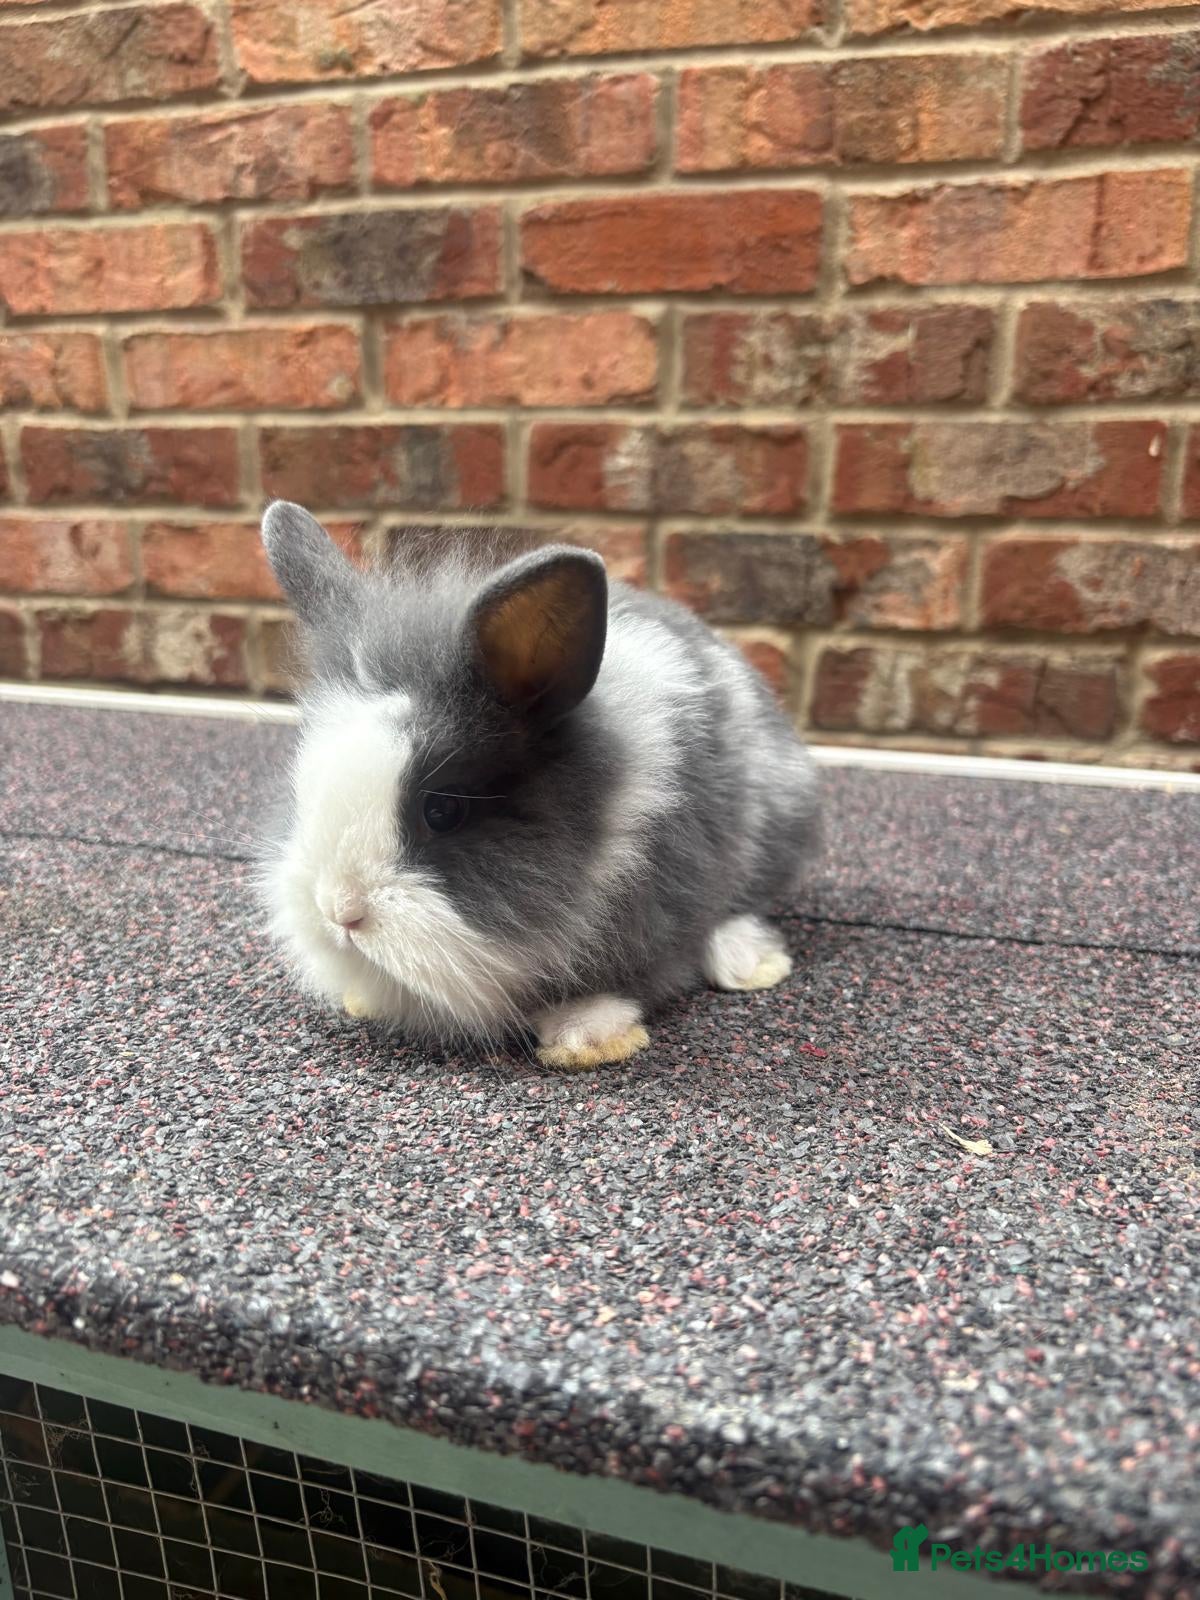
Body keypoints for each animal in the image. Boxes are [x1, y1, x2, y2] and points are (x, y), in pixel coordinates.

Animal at [258, 500, 821, 1069]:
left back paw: (750, 964)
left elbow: (633, 970)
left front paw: (586, 1038)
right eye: (304, 789)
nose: (339, 912)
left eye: (443, 810)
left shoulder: (666, 895)